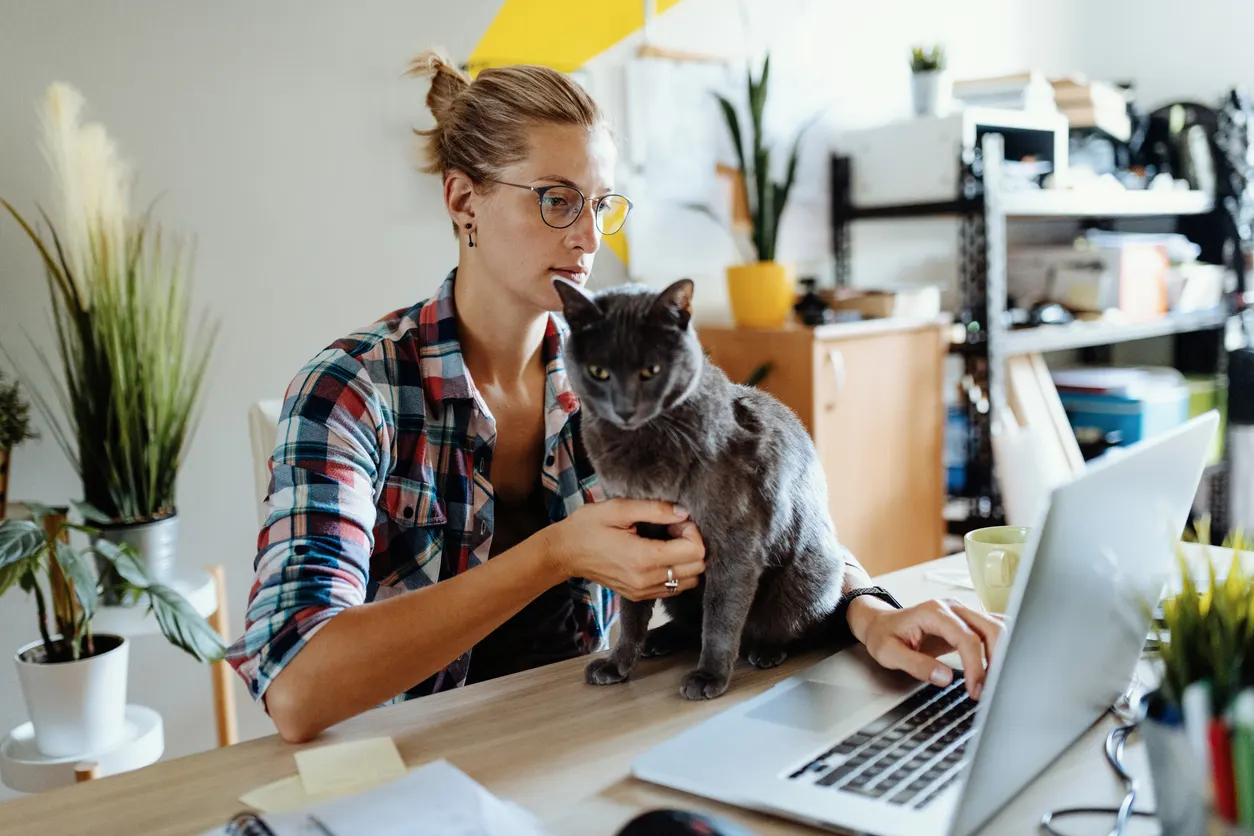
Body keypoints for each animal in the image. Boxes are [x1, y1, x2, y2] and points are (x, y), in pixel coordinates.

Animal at [554, 279, 847, 701]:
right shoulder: (634, 535)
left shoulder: (736, 542)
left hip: (809, 572)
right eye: (598, 372)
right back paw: (659, 639)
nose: (625, 408)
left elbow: (721, 615)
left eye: (651, 370)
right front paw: (618, 662)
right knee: (689, 623)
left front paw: (709, 675)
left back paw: (766, 648)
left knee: (793, 626)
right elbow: (633, 608)